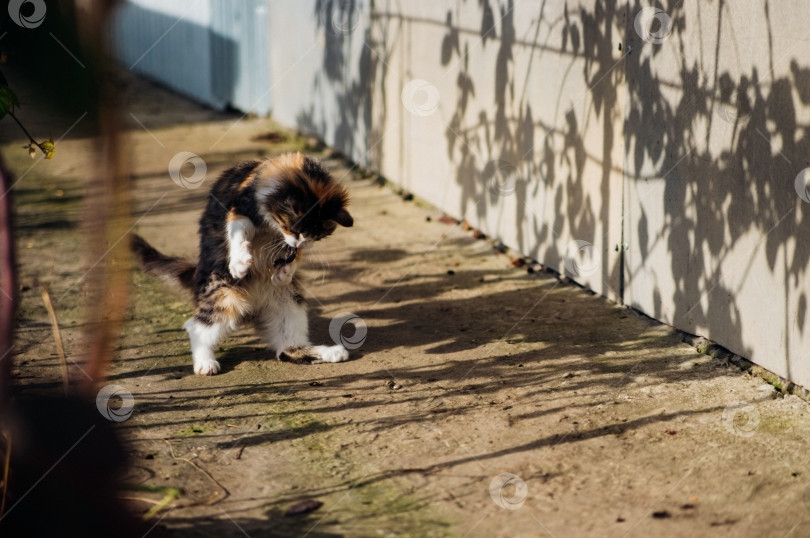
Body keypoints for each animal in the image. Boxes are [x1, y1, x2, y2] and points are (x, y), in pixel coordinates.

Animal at [131, 153, 352, 374]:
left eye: (317, 236)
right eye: (296, 230)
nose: (301, 243)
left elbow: (293, 256)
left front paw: (285, 272)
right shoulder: (238, 209)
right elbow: (238, 232)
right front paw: (239, 262)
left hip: (290, 303)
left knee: (287, 349)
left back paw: (331, 352)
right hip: (224, 296)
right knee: (197, 327)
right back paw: (205, 363)